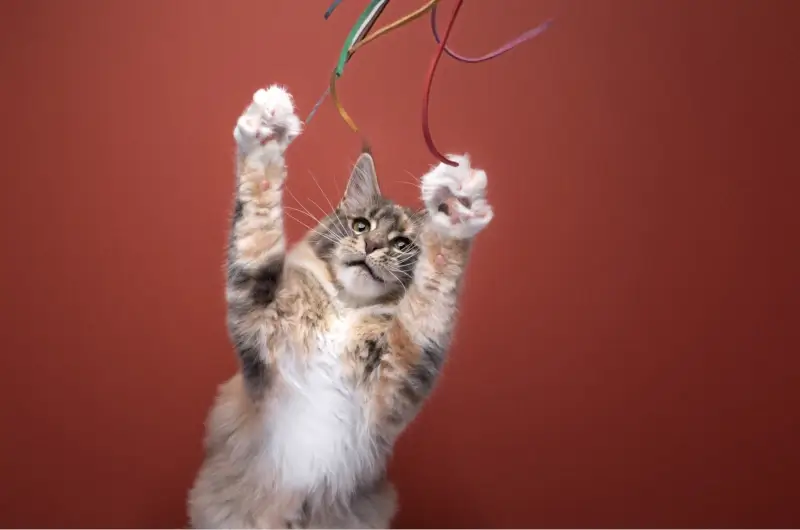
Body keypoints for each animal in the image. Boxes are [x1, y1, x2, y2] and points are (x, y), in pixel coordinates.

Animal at [188, 84, 494, 524]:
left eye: (402, 244)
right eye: (361, 225)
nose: (370, 247)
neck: (345, 310)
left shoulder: (401, 371)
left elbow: (433, 290)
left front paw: (456, 210)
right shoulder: (258, 314)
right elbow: (257, 224)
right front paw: (266, 132)